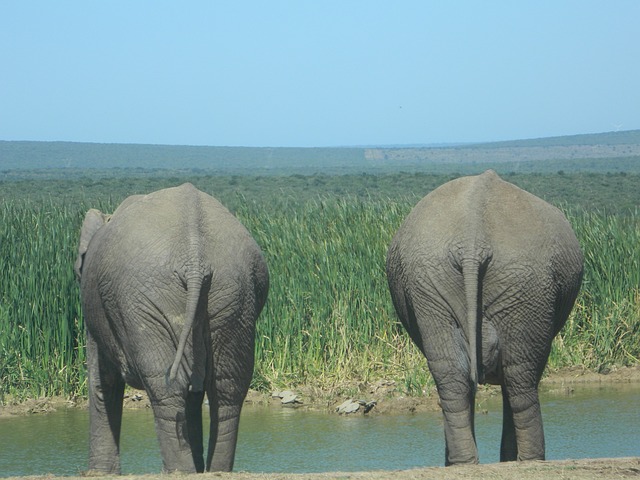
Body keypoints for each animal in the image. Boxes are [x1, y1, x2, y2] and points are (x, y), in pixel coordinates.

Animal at [75, 183, 270, 472]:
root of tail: (195, 255)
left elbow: (102, 380)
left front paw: (100, 474)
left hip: (144, 299)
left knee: (166, 386)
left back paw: (178, 470)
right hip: (236, 292)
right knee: (227, 385)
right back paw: (211, 471)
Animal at [384, 172, 584, 464]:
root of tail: (472, 241)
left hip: (429, 277)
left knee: (451, 373)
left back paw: (461, 463)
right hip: (526, 282)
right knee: (520, 374)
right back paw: (530, 460)